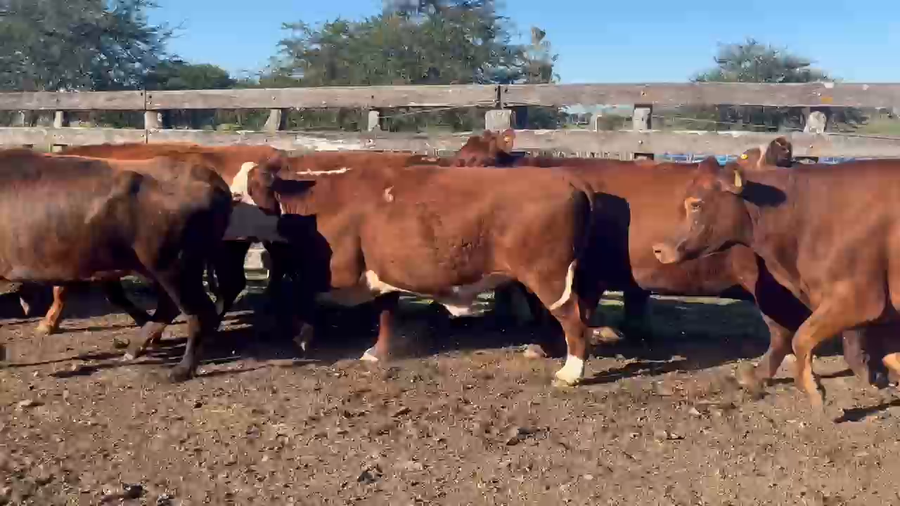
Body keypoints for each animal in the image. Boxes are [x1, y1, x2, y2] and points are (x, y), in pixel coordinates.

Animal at [0, 149, 233, 380]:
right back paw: (137, 347)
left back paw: (181, 369)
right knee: (171, 306)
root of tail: (212, 179)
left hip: (173, 267)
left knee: (198, 312)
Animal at [253, 158, 598, 385]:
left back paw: (570, 372)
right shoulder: (384, 270)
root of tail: (567, 179)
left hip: (548, 277)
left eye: (247, 192)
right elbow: (386, 312)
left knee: (571, 318)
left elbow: (301, 294)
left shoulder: (339, 270)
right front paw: (378, 353)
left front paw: (301, 336)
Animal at [453, 132, 885, 389]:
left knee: (784, 332)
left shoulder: (581, 275)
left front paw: (552, 347)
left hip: (767, 285)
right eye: (460, 160)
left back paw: (760, 374)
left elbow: (564, 313)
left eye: (478, 164)